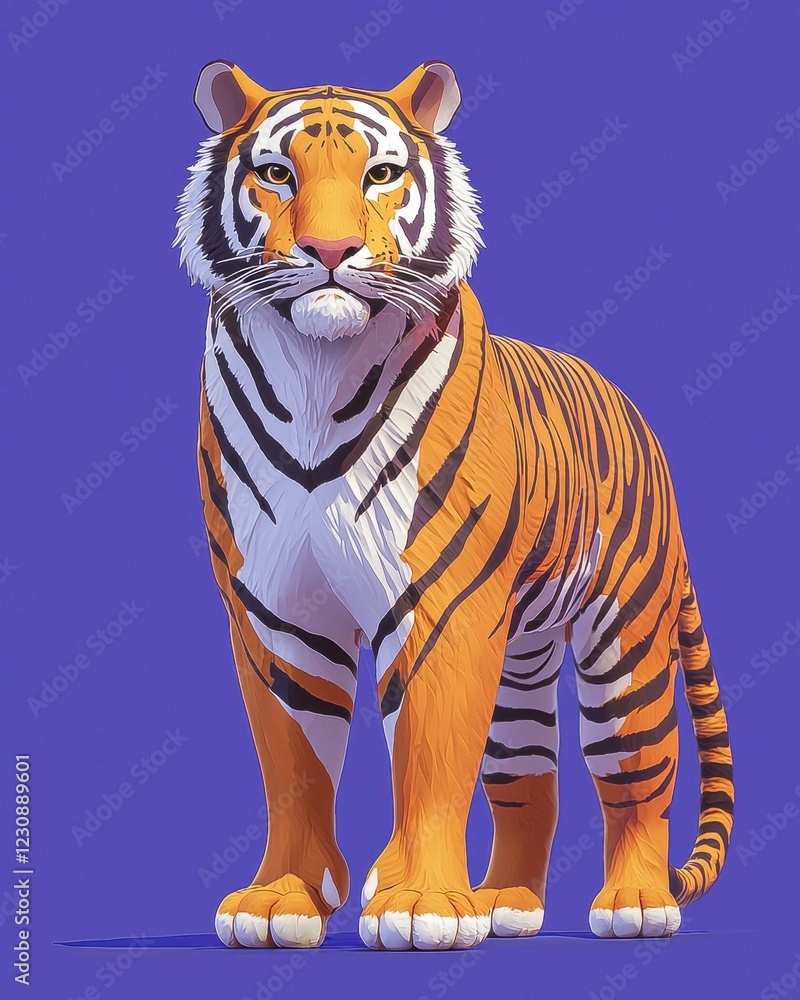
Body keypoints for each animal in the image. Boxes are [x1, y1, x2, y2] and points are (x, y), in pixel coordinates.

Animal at [175, 59, 734, 951]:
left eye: (380, 173)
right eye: (277, 174)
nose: (328, 251)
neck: (316, 367)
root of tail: (634, 411)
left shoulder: (441, 603)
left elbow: (430, 759)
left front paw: (420, 904)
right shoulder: (274, 608)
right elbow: (294, 762)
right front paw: (281, 901)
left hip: (625, 638)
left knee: (637, 773)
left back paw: (636, 903)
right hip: (518, 660)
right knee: (528, 776)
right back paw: (506, 902)